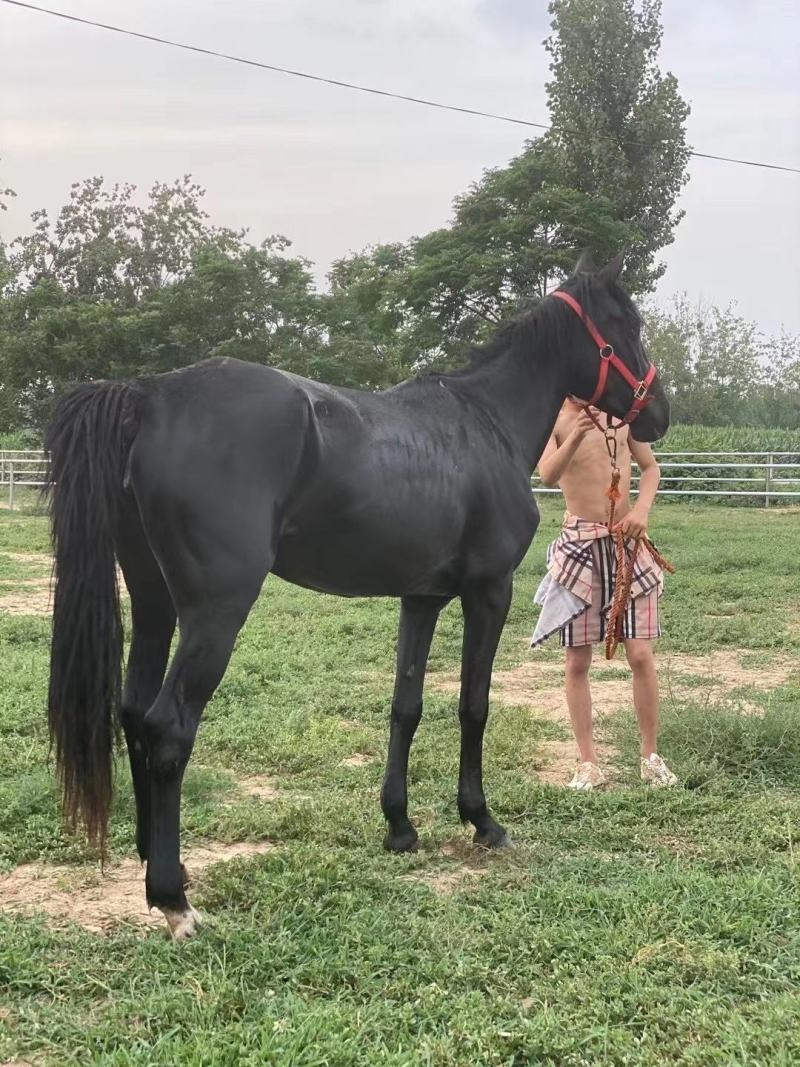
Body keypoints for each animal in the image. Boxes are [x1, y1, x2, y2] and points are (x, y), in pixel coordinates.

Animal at [45, 252, 669, 939]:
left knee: (132, 712)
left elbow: (407, 707)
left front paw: (399, 825)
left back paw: (152, 858)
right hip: (214, 613)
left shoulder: (420, 599)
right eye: (626, 323)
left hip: (154, 603)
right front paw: (482, 820)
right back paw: (173, 898)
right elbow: (473, 706)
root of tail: (150, 395)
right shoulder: (488, 592)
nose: (659, 414)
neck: (485, 423)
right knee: (168, 727)